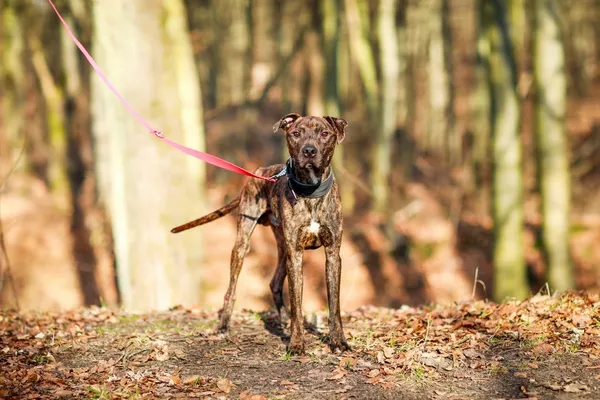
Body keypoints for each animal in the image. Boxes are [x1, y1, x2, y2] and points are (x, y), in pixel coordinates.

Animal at [171, 114, 350, 354]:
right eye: (296, 133)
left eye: (324, 133)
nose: (309, 151)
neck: (310, 192)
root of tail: (258, 172)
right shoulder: (296, 255)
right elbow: (297, 304)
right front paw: (296, 343)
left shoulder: (332, 255)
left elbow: (334, 305)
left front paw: (338, 341)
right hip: (244, 244)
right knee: (231, 290)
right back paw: (223, 327)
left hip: (283, 250)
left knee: (274, 282)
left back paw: (282, 319)